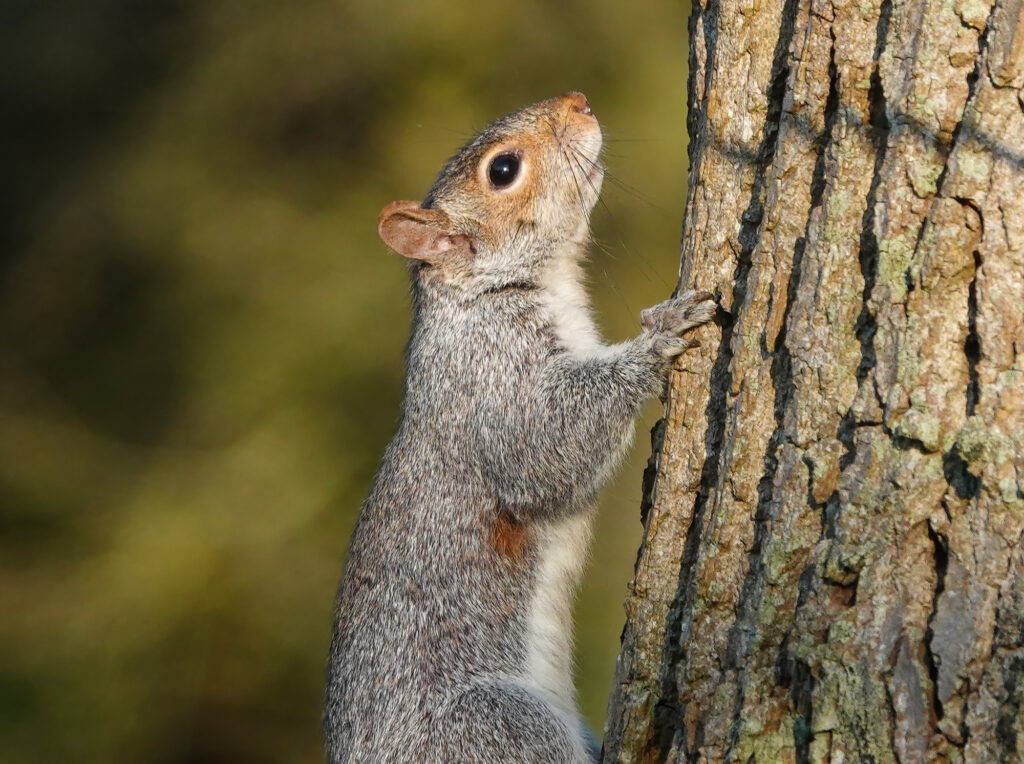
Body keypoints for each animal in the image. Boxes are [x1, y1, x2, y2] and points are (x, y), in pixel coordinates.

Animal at [323, 92, 716, 757]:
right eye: (502, 170)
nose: (579, 102)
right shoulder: (492, 378)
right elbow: (543, 452)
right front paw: (658, 337)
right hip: (495, 727)